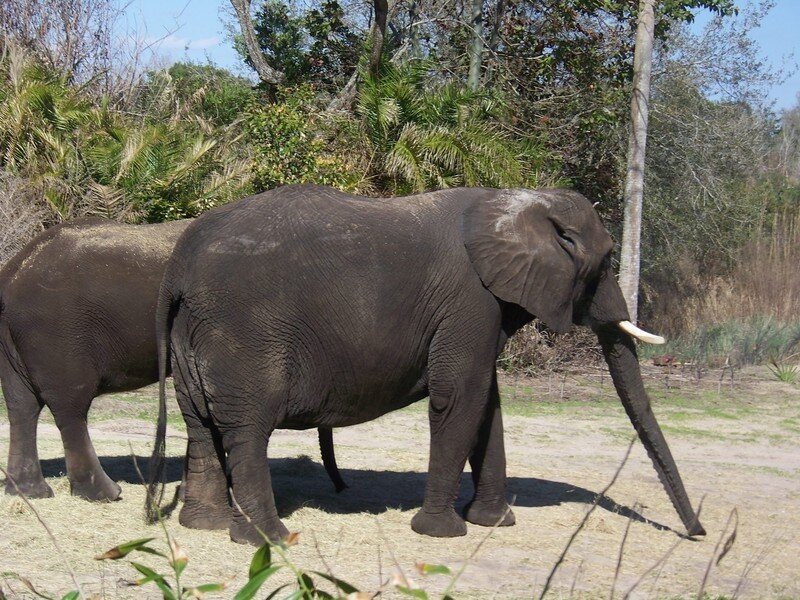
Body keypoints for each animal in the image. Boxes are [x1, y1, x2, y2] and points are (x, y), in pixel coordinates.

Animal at [0, 217, 346, 501]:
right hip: (56, 333)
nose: (342, 488)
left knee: (21, 406)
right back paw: (107, 494)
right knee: (70, 406)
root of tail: (13, 270)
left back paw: (29, 492)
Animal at [145, 184, 705, 545]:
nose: (697, 533)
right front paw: (442, 533)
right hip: (246, 331)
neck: (514, 200)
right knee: (247, 430)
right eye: (608, 261)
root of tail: (178, 266)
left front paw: (495, 523)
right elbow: (459, 398)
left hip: (192, 332)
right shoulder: (469, 300)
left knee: (200, 424)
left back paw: (205, 526)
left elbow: (487, 406)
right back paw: (269, 538)